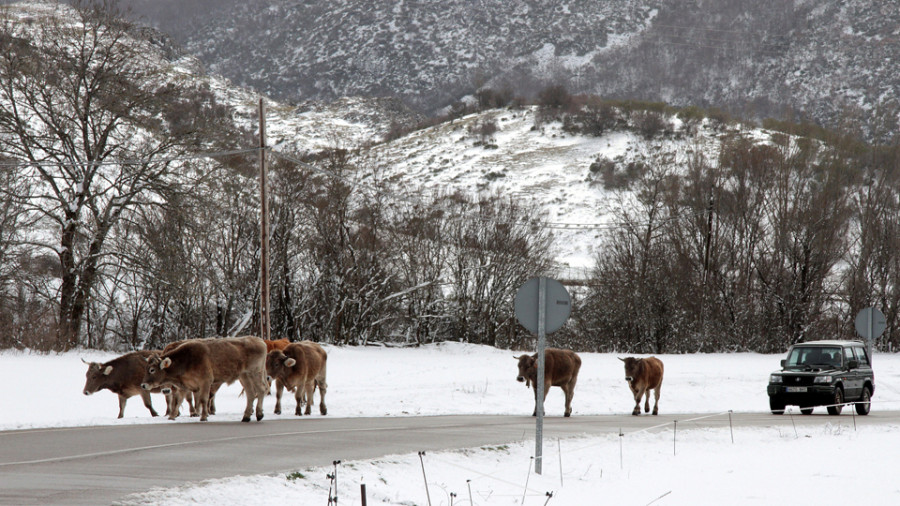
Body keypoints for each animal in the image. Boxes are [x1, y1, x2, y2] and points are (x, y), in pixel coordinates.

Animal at [139, 336, 268, 422]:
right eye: (145, 368)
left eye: (152, 370)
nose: (143, 385)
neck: (186, 360)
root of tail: (259, 340)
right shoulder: (184, 385)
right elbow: (179, 400)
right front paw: (172, 416)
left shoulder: (205, 382)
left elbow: (203, 399)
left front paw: (203, 416)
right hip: (244, 376)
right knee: (251, 394)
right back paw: (246, 416)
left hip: (255, 373)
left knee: (261, 390)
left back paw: (259, 414)